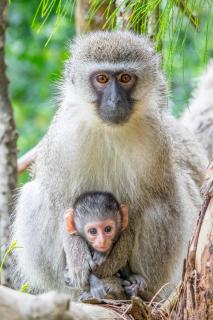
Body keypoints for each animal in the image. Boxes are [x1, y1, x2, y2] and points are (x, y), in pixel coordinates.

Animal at [12, 31, 208, 298]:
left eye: (125, 78)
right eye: (102, 79)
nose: (114, 100)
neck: (109, 130)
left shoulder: (155, 141)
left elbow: (138, 210)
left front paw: (106, 264)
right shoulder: (63, 136)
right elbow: (60, 201)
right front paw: (78, 261)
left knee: (161, 206)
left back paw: (137, 286)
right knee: (37, 196)